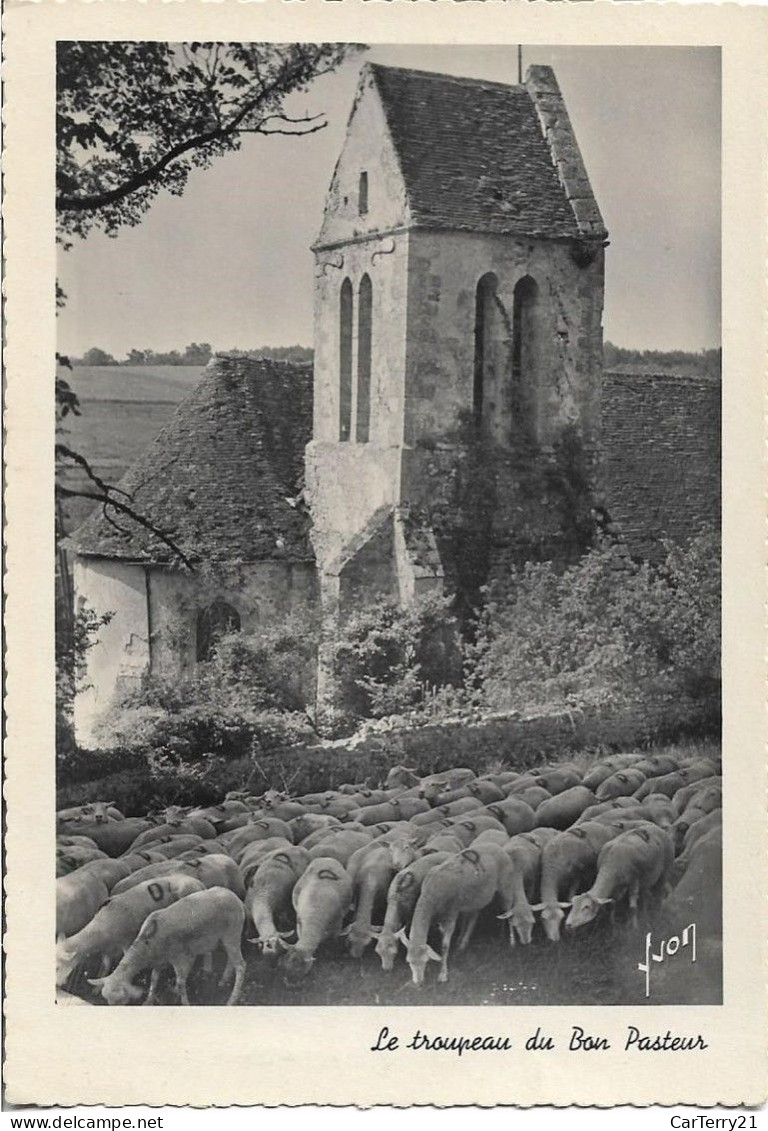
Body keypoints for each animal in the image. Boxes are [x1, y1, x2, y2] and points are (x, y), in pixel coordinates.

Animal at [55, 868, 205, 986]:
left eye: (57, 967)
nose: (58, 985)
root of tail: (199, 884)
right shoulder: (108, 947)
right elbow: (106, 963)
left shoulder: (126, 942)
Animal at [88, 882, 247, 1008]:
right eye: (107, 999)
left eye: (120, 1000)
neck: (147, 944)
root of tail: (234, 896)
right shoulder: (159, 959)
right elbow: (154, 978)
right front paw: (148, 1001)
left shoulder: (182, 958)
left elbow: (180, 984)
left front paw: (185, 1003)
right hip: (221, 937)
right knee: (231, 960)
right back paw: (223, 980)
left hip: (232, 932)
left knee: (240, 965)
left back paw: (232, 1000)